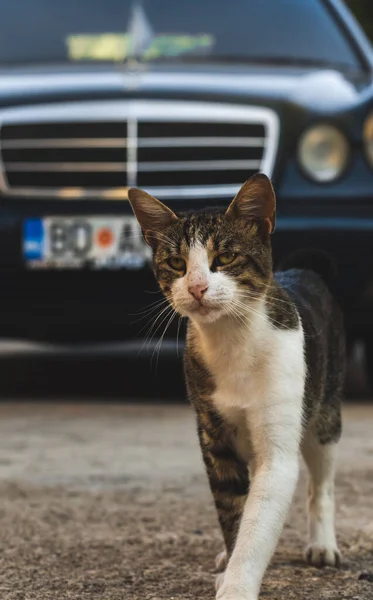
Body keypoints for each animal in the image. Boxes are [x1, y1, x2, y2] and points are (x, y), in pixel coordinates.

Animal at [127, 173, 342, 600]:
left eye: (224, 258)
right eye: (177, 263)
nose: (196, 286)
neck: (234, 341)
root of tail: (305, 271)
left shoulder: (277, 449)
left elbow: (259, 521)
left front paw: (238, 584)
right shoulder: (214, 439)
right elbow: (232, 509)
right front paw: (230, 564)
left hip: (325, 411)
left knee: (321, 482)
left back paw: (323, 544)